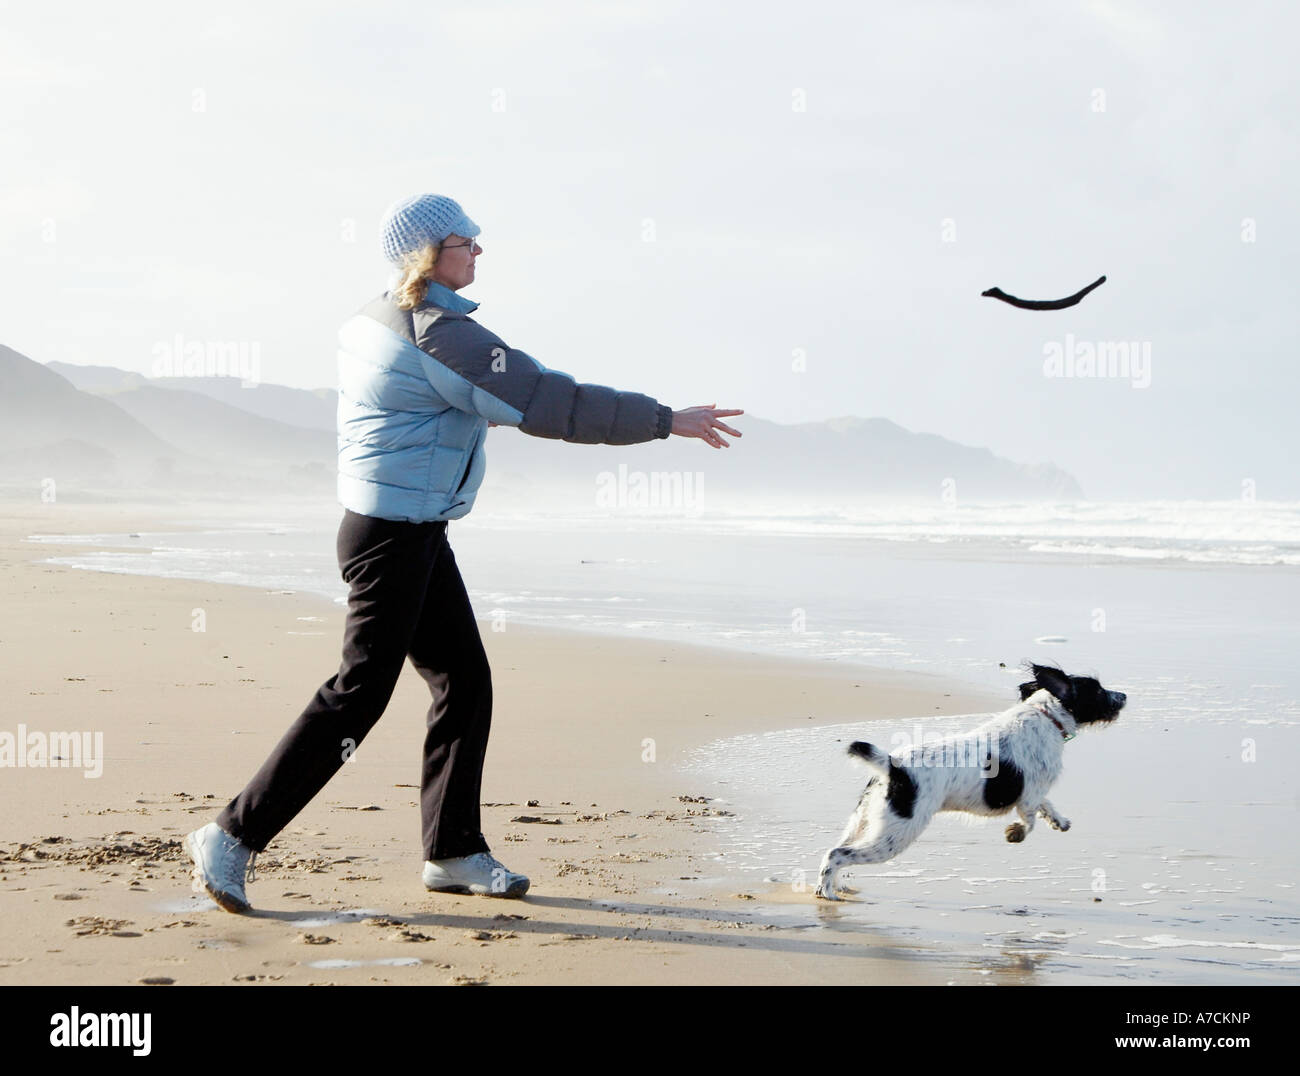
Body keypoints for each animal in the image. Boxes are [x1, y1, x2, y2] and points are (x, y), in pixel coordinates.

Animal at [816, 665, 1123, 899]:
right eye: (1097, 690)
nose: (1124, 695)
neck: (1046, 716)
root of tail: (893, 764)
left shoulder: (1035, 794)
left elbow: (1046, 805)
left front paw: (1059, 820)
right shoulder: (1028, 796)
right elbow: (1030, 820)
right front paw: (1015, 833)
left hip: (865, 821)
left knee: (837, 848)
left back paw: (835, 886)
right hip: (896, 833)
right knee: (836, 854)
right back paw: (827, 892)